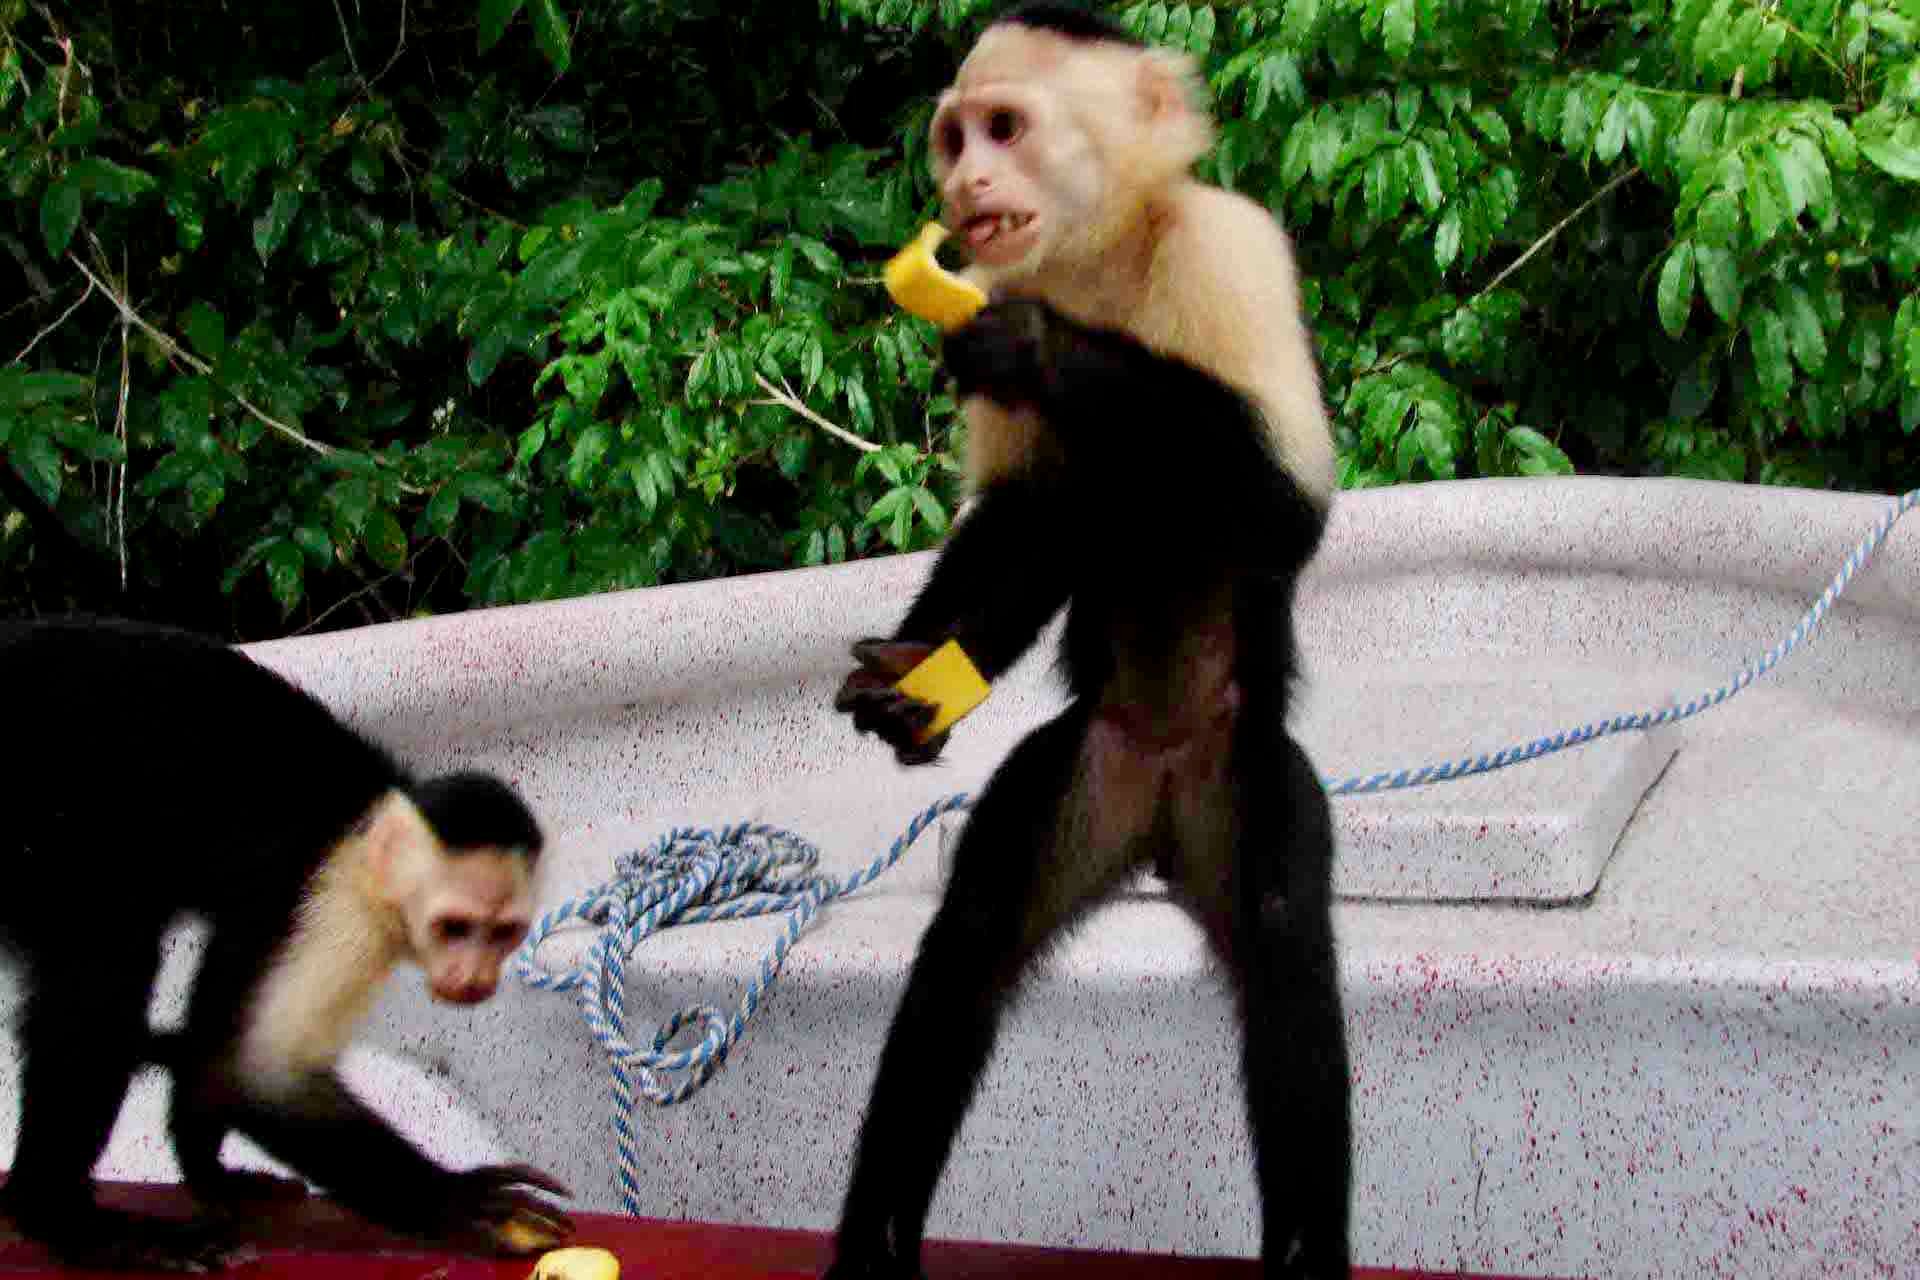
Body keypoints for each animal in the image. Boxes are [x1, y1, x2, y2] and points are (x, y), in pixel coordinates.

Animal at [0, 615, 573, 1272]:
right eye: (453, 927)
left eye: (503, 933)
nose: (475, 979)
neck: (364, 840)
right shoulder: (333, 906)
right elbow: (259, 1074)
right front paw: (458, 1201)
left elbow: (217, 1045)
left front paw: (209, 1171)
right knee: (106, 961)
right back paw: (65, 1218)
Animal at [827, 6, 1348, 1278]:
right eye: (955, 136)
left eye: (1006, 128)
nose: (964, 182)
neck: (1099, 260)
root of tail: (1156, 796)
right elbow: (1030, 522)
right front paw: (916, 674)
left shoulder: (1230, 245)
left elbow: (1285, 509)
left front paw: (1042, 349)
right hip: (1084, 768)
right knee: (968, 940)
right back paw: (874, 1243)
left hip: (1236, 770)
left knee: (1284, 947)